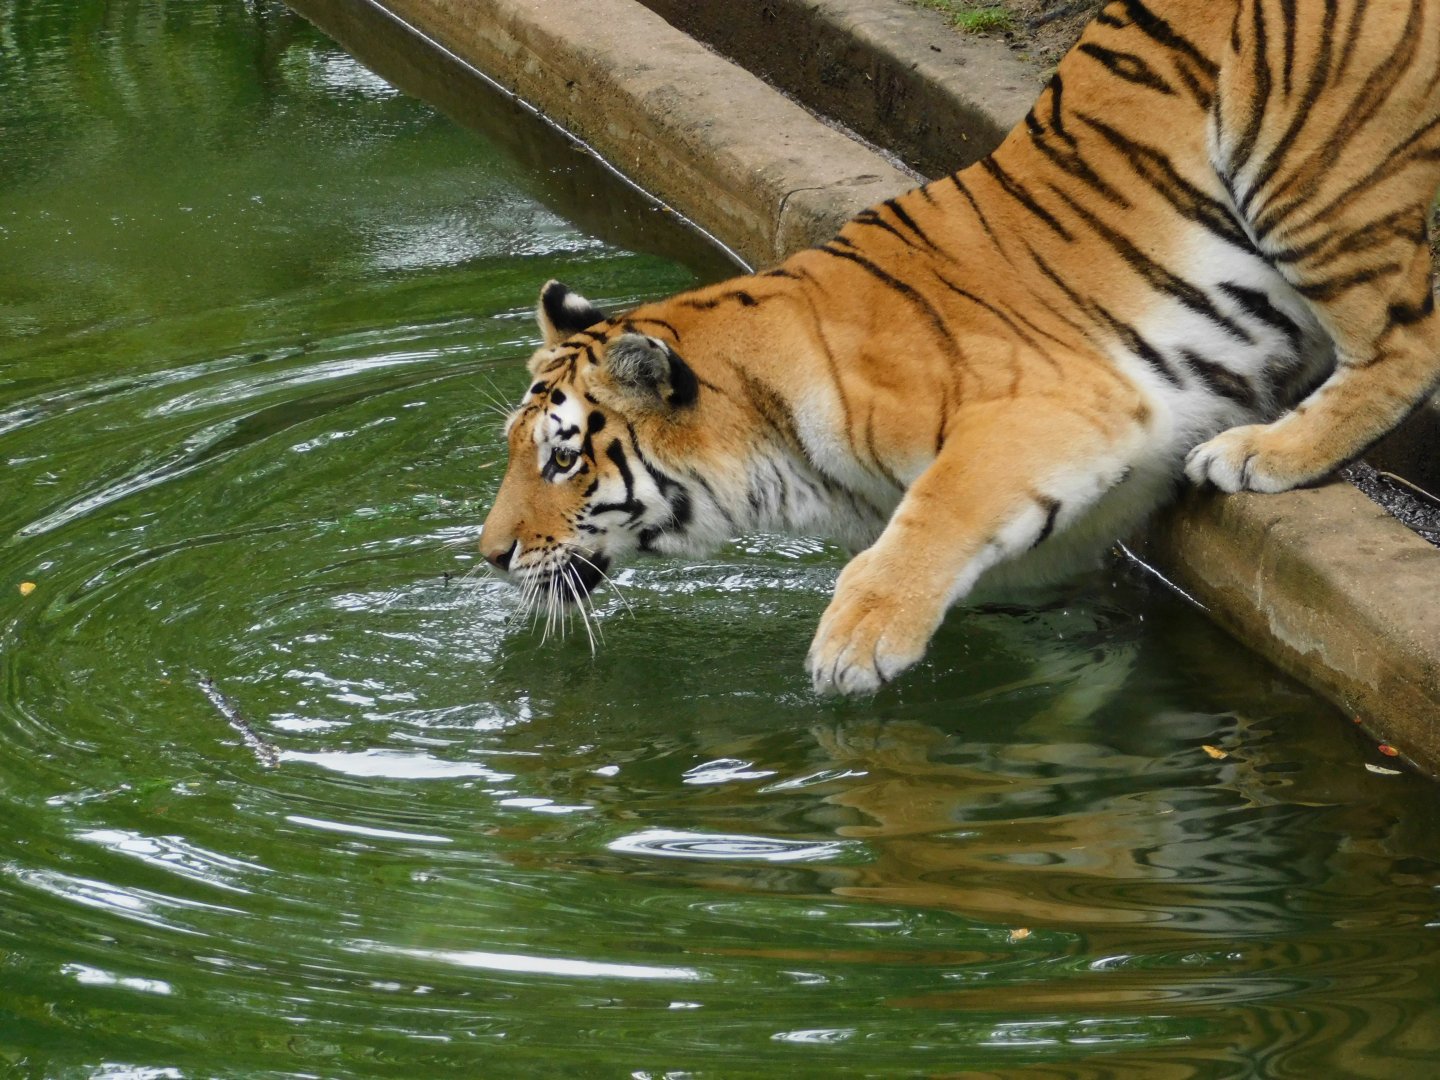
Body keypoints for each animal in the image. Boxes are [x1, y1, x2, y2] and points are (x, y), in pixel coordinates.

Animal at [479, 0, 1440, 696]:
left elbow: (937, 509)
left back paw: (1261, 451)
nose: (490, 555)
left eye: (563, 460)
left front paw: (855, 641)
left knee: (1408, 339)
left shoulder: (1050, 408)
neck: (784, 459)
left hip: (1307, 165)